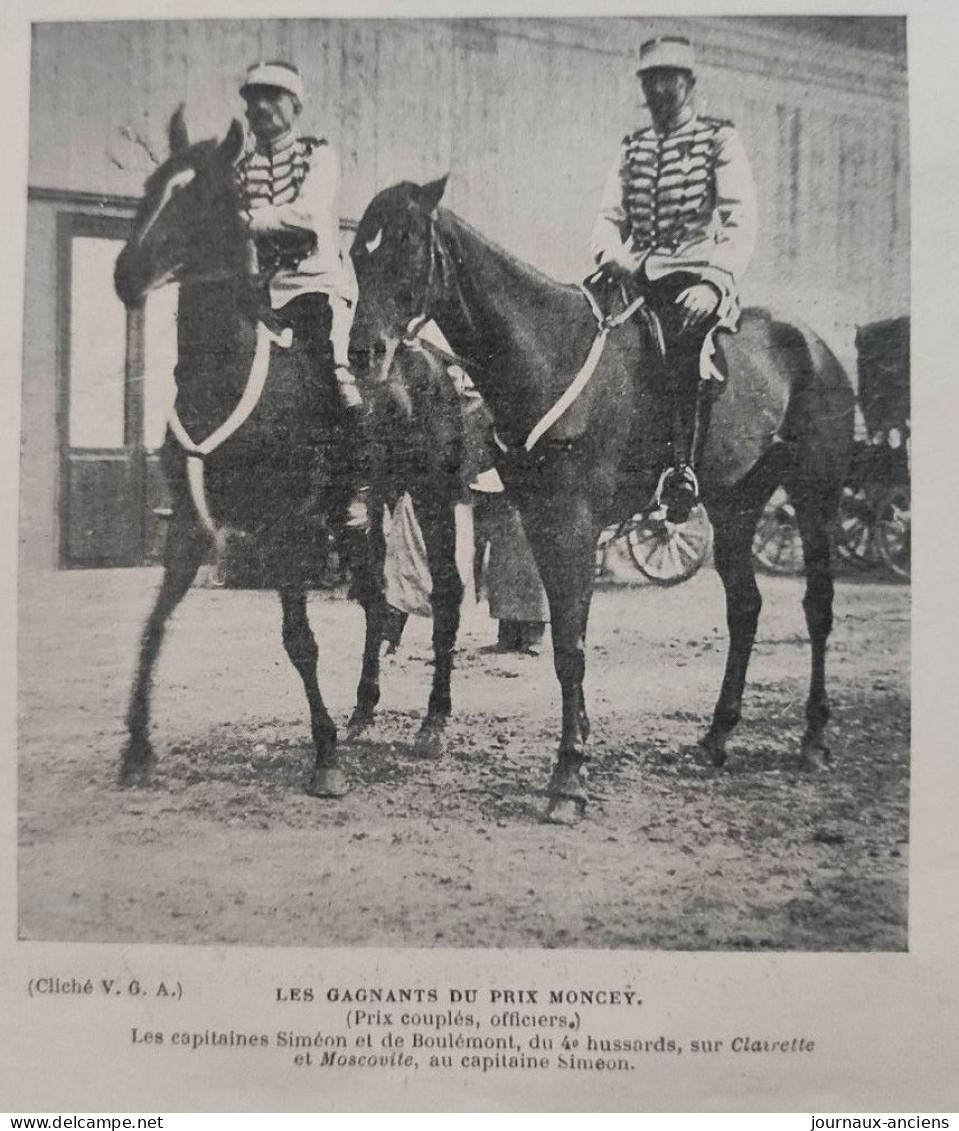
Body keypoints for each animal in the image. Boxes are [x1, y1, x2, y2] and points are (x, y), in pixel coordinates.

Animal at [115, 117, 472, 796]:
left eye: (200, 196)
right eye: (150, 186)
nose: (127, 272)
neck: (222, 378)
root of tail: (432, 359)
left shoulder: (286, 530)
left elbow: (299, 640)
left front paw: (325, 757)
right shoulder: (191, 527)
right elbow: (152, 625)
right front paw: (136, 749)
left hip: (433, 496)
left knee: (445, 593)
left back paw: (436, 721)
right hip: (361, 512)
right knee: (375, 600)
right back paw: (364, 707)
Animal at [350, 176, 854, 818]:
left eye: (409, 244)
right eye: (356, 253)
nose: (364, 353)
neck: (545, 349)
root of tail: (813, 345)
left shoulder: (570, 521)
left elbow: (569, 642)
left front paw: (568, 775)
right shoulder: (515, 512)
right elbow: (534, 624)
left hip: (816, 498)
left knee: (817, 607)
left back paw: (814, 737)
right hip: (736, 504)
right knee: (744, 608)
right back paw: (717, 735)